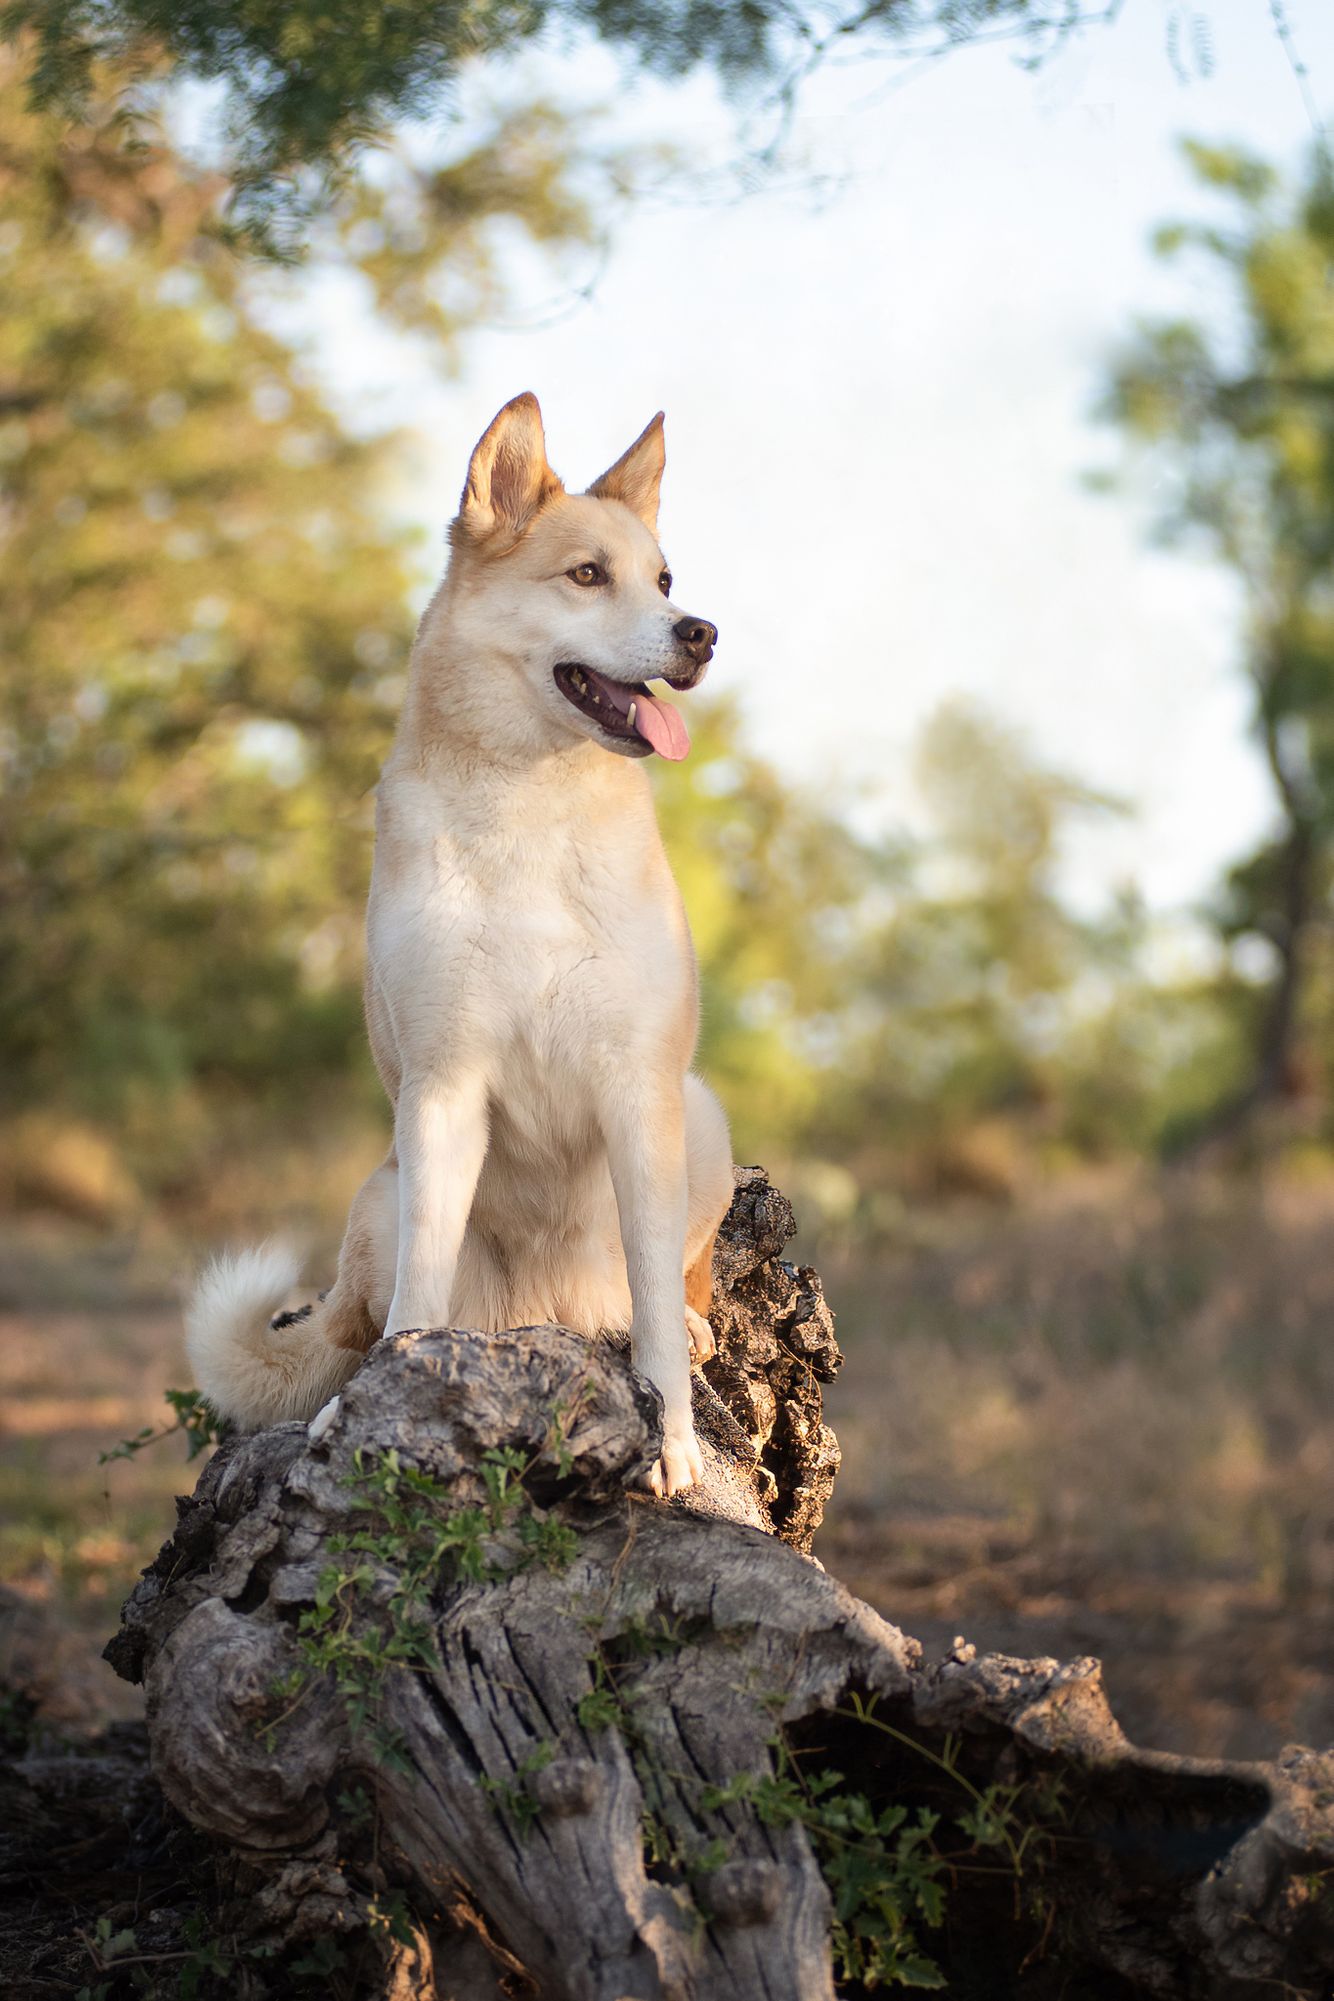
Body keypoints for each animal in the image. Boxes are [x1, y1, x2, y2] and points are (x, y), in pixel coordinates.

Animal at [187, 394, 736, 1488]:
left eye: (662, 579)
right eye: (586, 575)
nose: (699, 633)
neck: (526, 812)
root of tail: (548, 1313)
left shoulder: (637, 1089)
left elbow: (659, 1296)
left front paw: (673, 1445)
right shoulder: (443, 1089)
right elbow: (414, 1295)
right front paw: (367, 1412)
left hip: (700, 1117)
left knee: (680, 1282)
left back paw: (697, 1338)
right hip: (381, 1189)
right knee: (363, 1317)